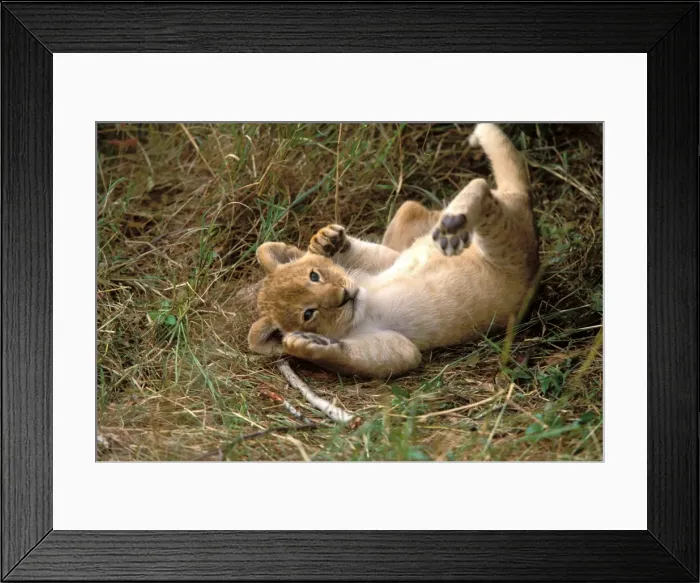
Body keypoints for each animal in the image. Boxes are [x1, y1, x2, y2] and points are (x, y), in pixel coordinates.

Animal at [248, 123, 539, 378]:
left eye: (314, 276)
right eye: (308, 314)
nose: (344, 296)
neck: (365, 297)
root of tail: (521, 202)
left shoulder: (382, 263)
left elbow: (375, 255)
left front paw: (326, 242)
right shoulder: (399, 345)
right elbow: (365, 358)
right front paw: (307, 344)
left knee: (473, 188)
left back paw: (451, 222)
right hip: (510, 247)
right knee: (481, 190)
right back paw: (453, 224)